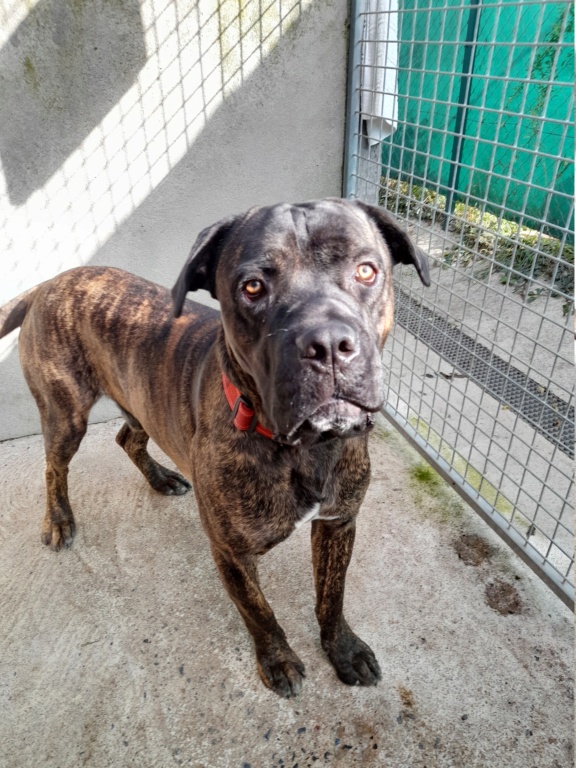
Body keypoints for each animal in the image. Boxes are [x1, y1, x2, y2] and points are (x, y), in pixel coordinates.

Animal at [0, 198, 428, 696]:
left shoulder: (339, 524)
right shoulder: (231, 552)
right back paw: (58, 520)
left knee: (128, 437)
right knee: (54, 467)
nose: (327, 345)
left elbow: (332, 595)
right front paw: (277, 659)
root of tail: (49, 283)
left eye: (366, 270)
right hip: (65, 414)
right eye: (253, 286)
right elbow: (258, 611)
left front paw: (342, 648)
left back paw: (161, 478)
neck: (303, 448)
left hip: (143, 404)